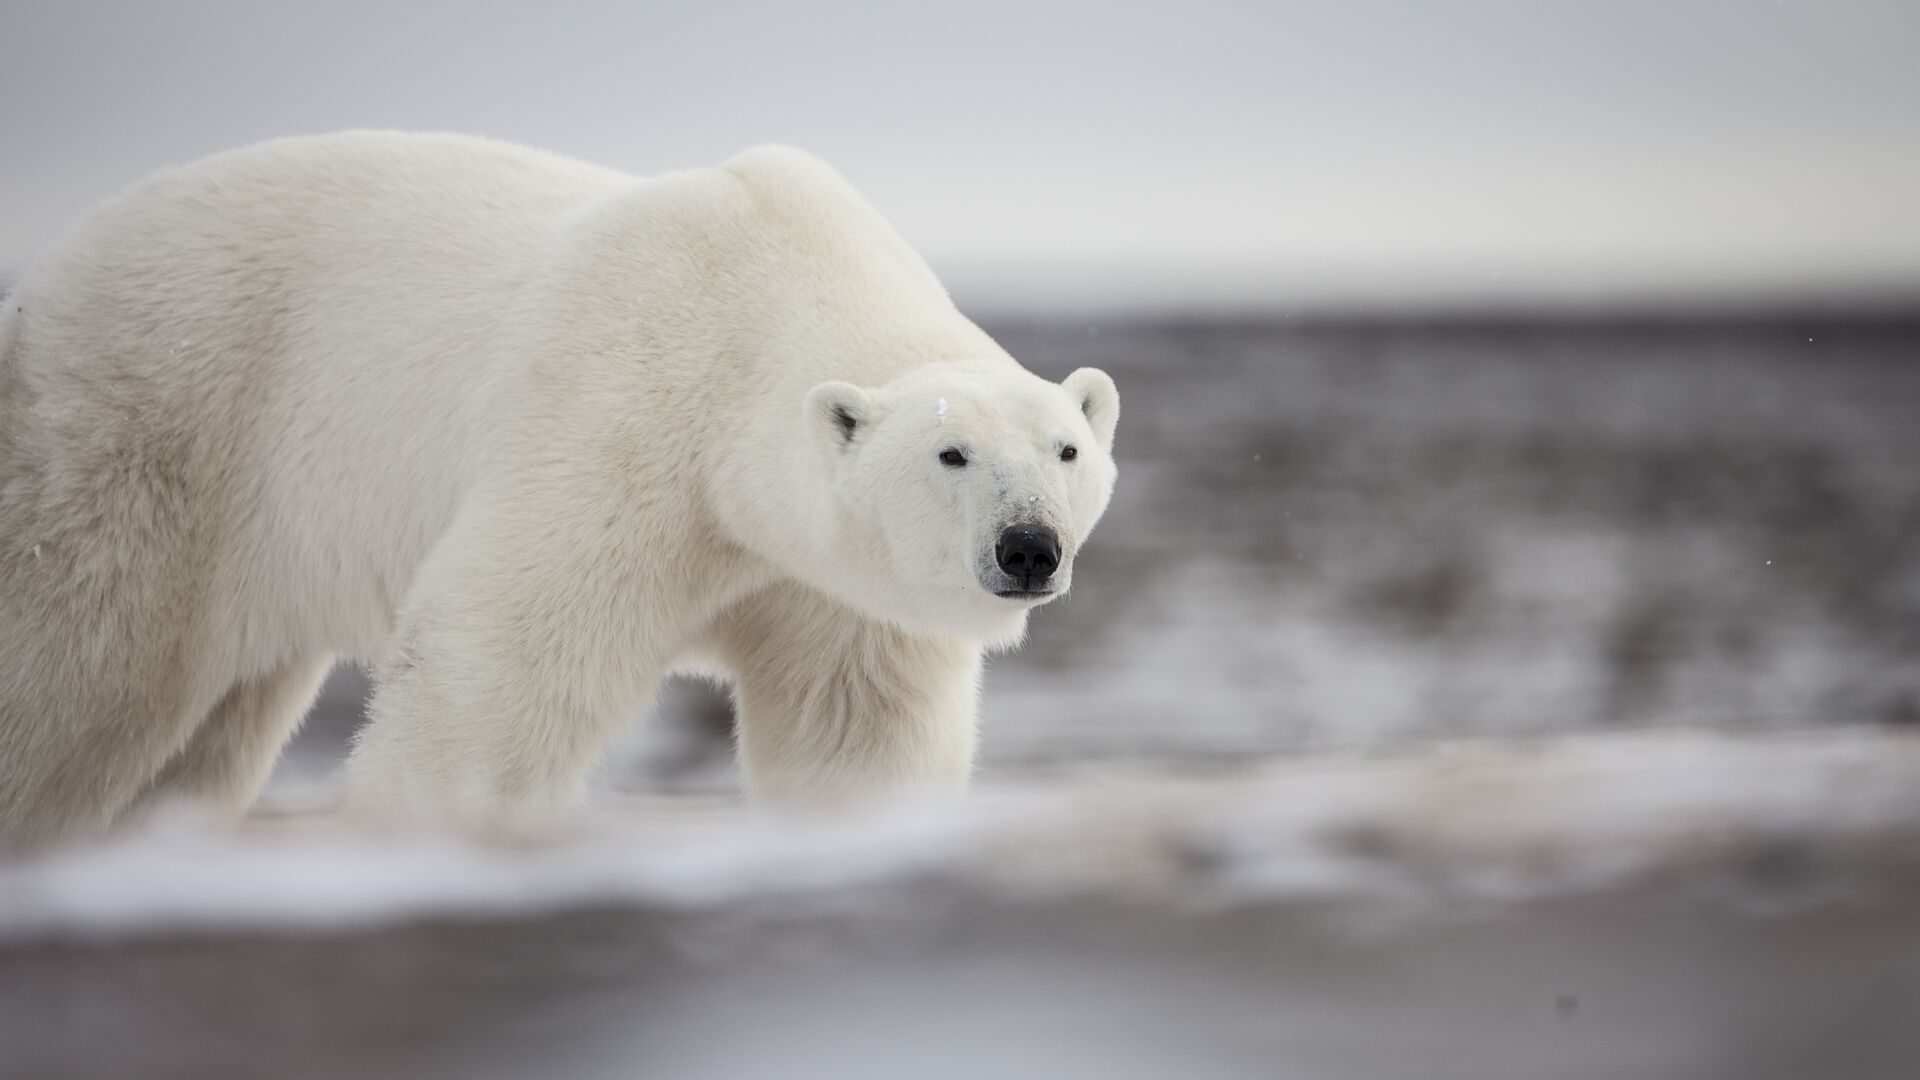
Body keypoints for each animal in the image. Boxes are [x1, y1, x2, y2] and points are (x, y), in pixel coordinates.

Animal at [0, 131, 1119, 844]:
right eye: (952, 454)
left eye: (1065, 450)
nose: (1028, 548)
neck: (763, 280)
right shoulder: (621, 414)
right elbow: (500, 656)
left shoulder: (826, 576)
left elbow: (855, 723)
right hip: (146, 440)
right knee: (74, 669)